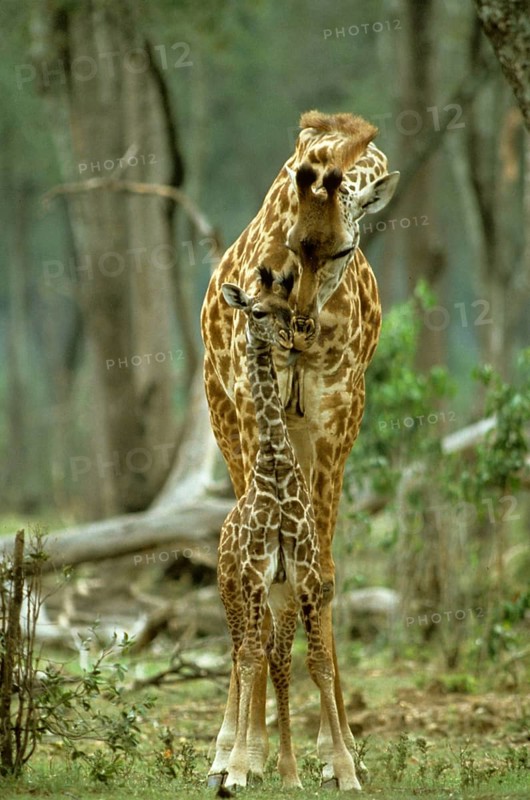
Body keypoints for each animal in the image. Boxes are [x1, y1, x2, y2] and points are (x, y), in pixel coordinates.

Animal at [211, 266, 360, 791]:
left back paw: (287, 769)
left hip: (282, 595)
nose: (285, 335)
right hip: (232, 591)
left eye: (282, 308)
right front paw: (238, 770)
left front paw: (343, 769)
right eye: (256, 310)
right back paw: (228, 761)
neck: (275, 469)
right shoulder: (255, 575)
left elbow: (314, 663)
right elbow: (252, 658)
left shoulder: (304, 578)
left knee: (275, 656)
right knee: (244, 653)